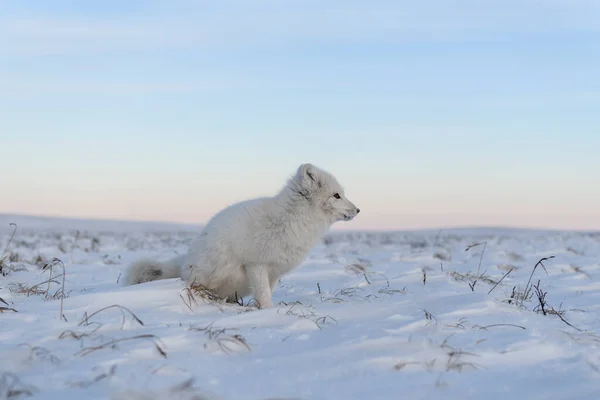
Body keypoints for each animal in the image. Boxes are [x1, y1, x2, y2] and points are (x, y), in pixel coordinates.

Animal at [123, 164, 358, 308]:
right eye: (337, 195)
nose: (358, 210)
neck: (292, 219)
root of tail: (183, 262)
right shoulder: (256, 264)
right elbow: (264, 295)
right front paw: (269, 313)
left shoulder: (274, 271)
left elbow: (267, 293)